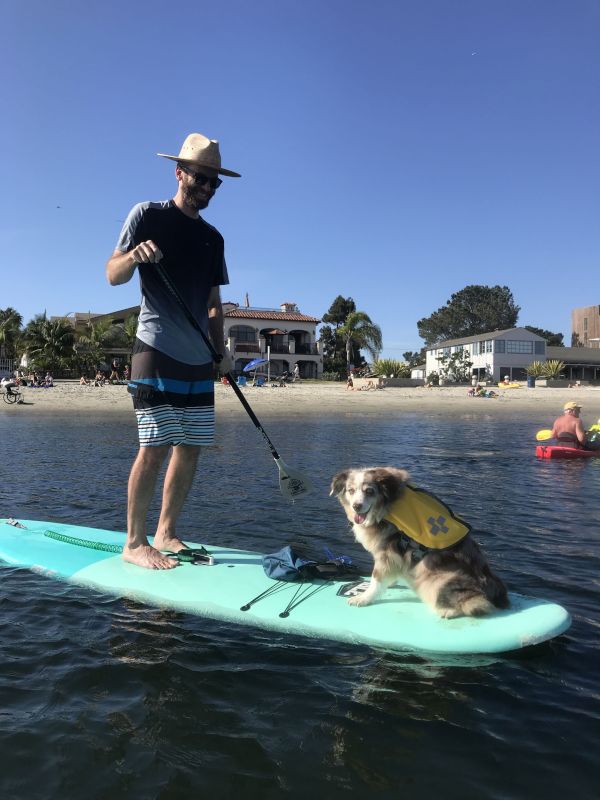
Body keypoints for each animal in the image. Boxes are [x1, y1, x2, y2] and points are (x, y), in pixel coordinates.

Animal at [330, 468, 508, 620]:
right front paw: (392, 582)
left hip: (440, 581)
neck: (386, 505)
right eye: (350, 490)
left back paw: (449, 611)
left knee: (477, 604)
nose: (356, 506)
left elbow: (376, 579)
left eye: (369, 491)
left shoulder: (386, 552)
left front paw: (363, 598)